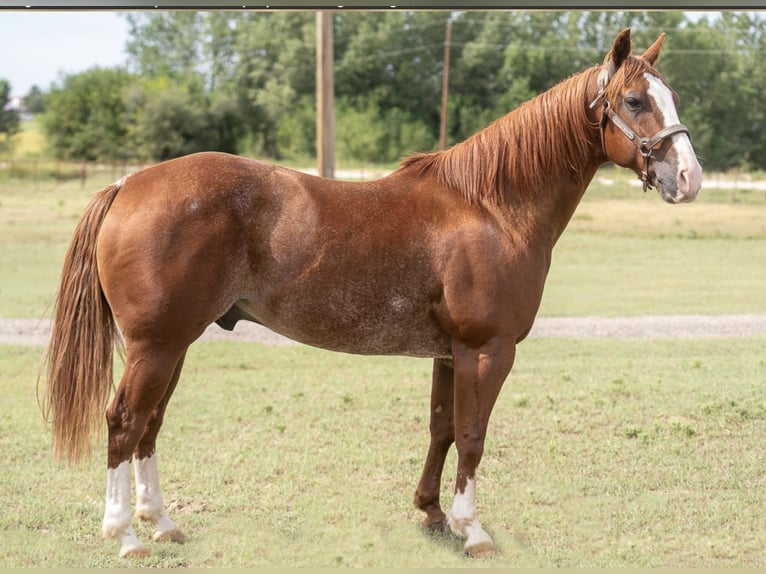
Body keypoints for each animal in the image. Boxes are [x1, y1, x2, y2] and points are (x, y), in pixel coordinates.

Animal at [42, 28, 704, 564]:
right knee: (124, 422)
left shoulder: (449, 353)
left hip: (173, 345)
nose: (689, 178)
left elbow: (442, 428)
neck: (492, 206)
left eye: (670, 96)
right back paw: (125, 535)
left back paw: (163, 524)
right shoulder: (487, 349)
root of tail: (128, 184)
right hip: (156, 345)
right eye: (635, 101)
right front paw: (473, 531)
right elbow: (472, 435)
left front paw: (433, 514)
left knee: (150, 426)